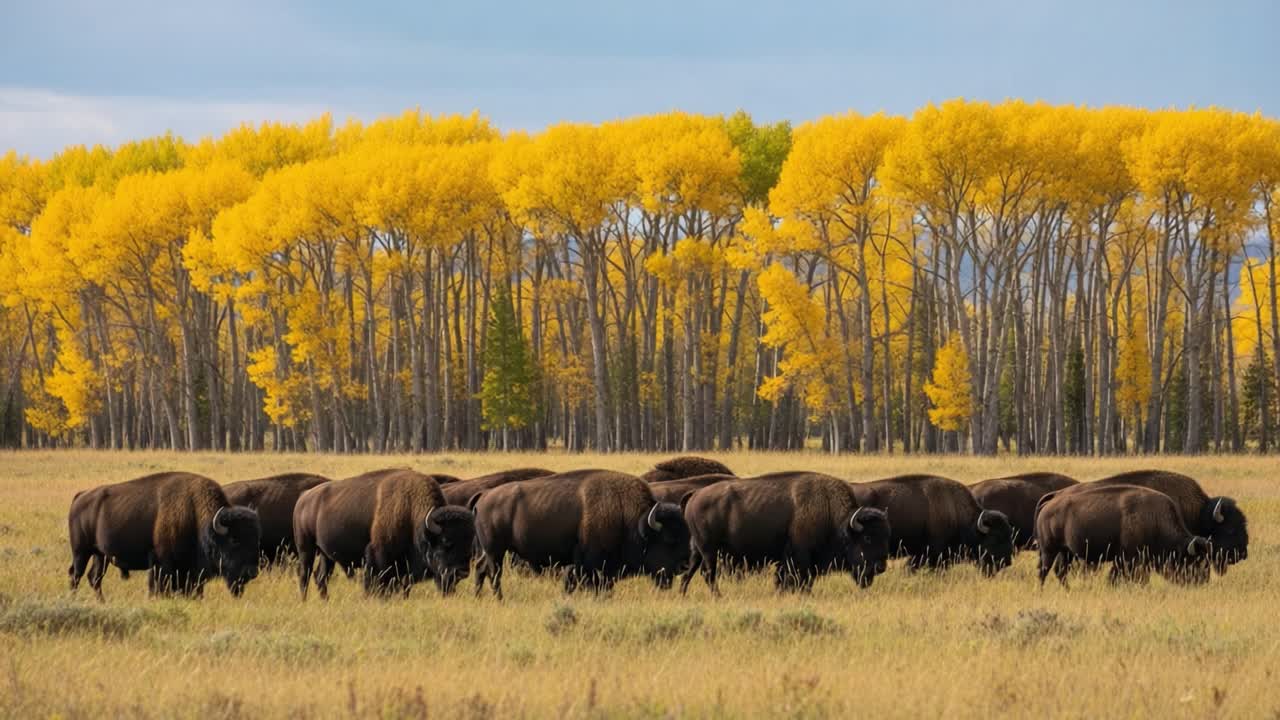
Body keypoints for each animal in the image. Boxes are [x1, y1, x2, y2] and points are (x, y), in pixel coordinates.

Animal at [68, 472, 262, 600]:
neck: (196, 515)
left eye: (255, 540)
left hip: (100, 555)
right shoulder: (161, 564)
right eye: (234, 540)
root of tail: (80, 496)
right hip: (81, 552)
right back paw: (74, 599)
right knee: (76, 575)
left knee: (94, 578)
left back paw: (101, 601)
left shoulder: (191, 572)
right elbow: (158, 587)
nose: (252, 572)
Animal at [293, 468, 475, 599]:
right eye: (446, 542)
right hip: (306, 548)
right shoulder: (377, 559)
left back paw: (325, 600)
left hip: (326, 554)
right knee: (304, 575)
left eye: (469, 543)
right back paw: (304, 600)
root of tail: (303, 498)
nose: (462, 572)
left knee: (320, 577)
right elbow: (376, 585)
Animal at [472, 469, 689, 597]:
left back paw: (478, 596)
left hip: (490, 552)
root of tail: (484, 496)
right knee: (494, 573)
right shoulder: (589, 564)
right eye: (669, 539)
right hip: (495, 551)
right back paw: (499, 599)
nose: (684, 565)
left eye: (686, 535)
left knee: (481, 568)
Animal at [680, 472, 891, 594]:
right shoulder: (800, 556)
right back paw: (718, 596)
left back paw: (682, 594)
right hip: (709, 550)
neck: (830, 511)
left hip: (698, 549)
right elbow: (800, 579)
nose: (881, 567)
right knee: (708, 574)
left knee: (690, 571)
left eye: (885, 537)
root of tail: (695, 495)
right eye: (867, 537)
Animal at [1036, 484, 1211, 586]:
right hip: (1049, 550)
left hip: (1066, 552)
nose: (1203, 582)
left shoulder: (1127, 559)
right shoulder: (1129, 558)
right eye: (1195, 562)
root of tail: (1050, 502)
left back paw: (1068, 590)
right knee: (1044, 570)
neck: (1155, 520)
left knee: (1059, 571)